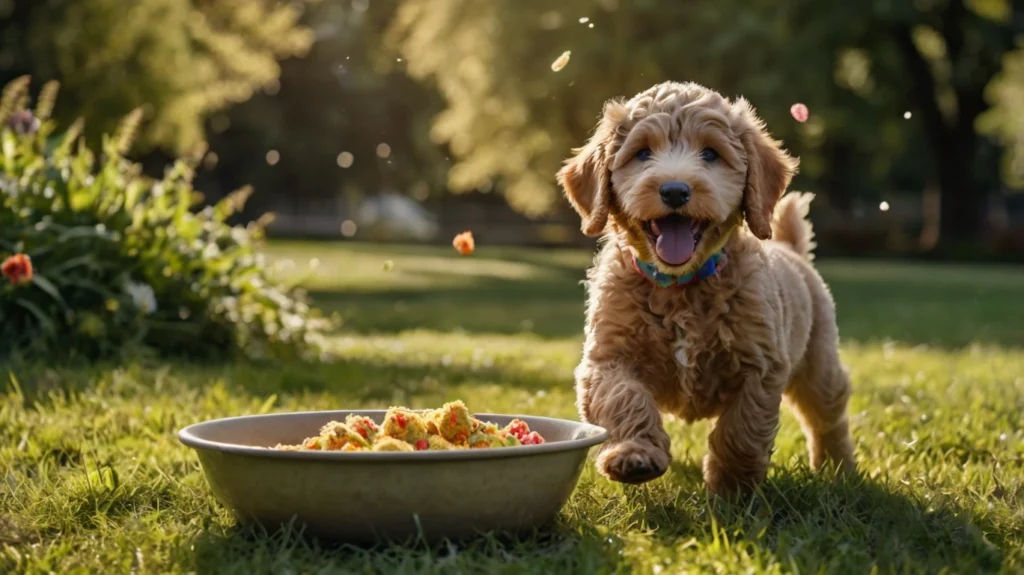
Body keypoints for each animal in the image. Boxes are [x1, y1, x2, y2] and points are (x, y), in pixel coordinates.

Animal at [561, 81, 856, 497]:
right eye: (642, 152)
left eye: (711, 154)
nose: (674, 191)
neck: (680, 286)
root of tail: (790, 248)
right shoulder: (608, 358)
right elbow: (624, 398)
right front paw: (634, 454)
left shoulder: (759, 366)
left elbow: (742, 430)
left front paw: (732, 489)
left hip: (819, 362)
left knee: (828, 416)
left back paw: (837, 470)